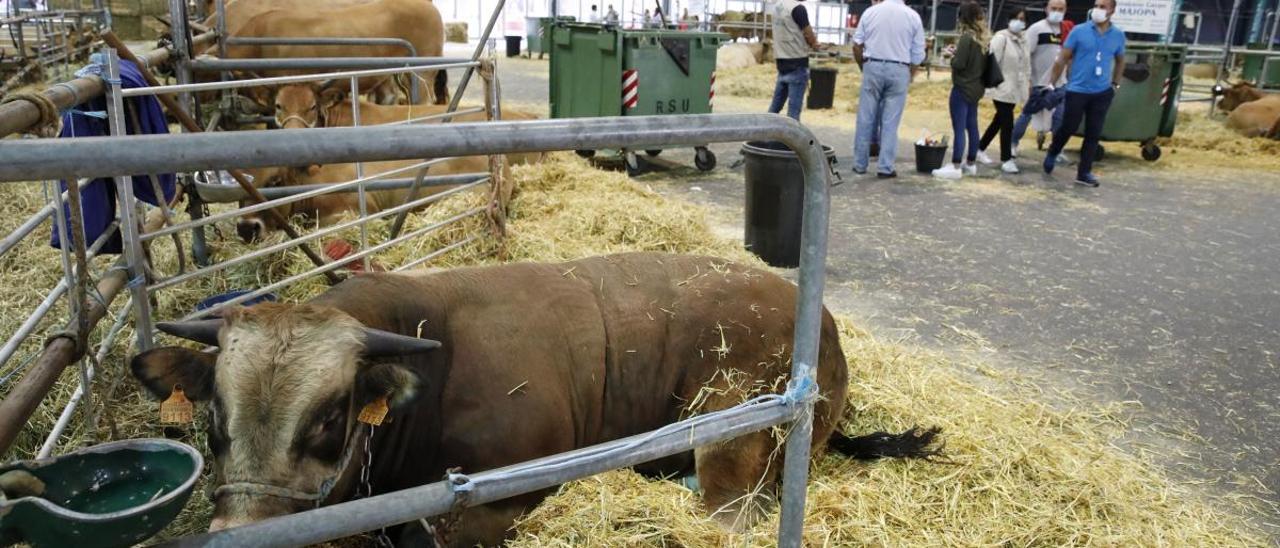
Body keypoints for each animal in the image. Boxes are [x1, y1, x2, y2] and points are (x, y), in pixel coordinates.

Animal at [132, 254, 942, 545]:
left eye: (330, 417)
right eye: (213, 418)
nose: (240, 532)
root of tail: (821, 319)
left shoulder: (501, 499)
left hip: (731, 434)